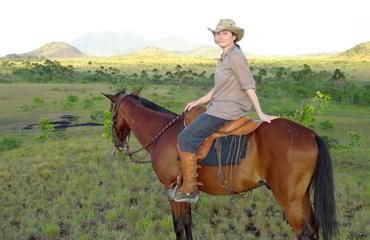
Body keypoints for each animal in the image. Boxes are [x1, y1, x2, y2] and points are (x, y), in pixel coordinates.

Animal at [102, 90, 336, 240]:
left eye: (111, 113)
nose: (118, 143)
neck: (162, 134)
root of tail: (312, 135)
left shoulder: (171, 189)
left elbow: (178, 226)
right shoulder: (184, 192)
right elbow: (187, 223)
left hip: (289, 198)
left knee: (304, 232)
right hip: (302, 196)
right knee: (313, 229)